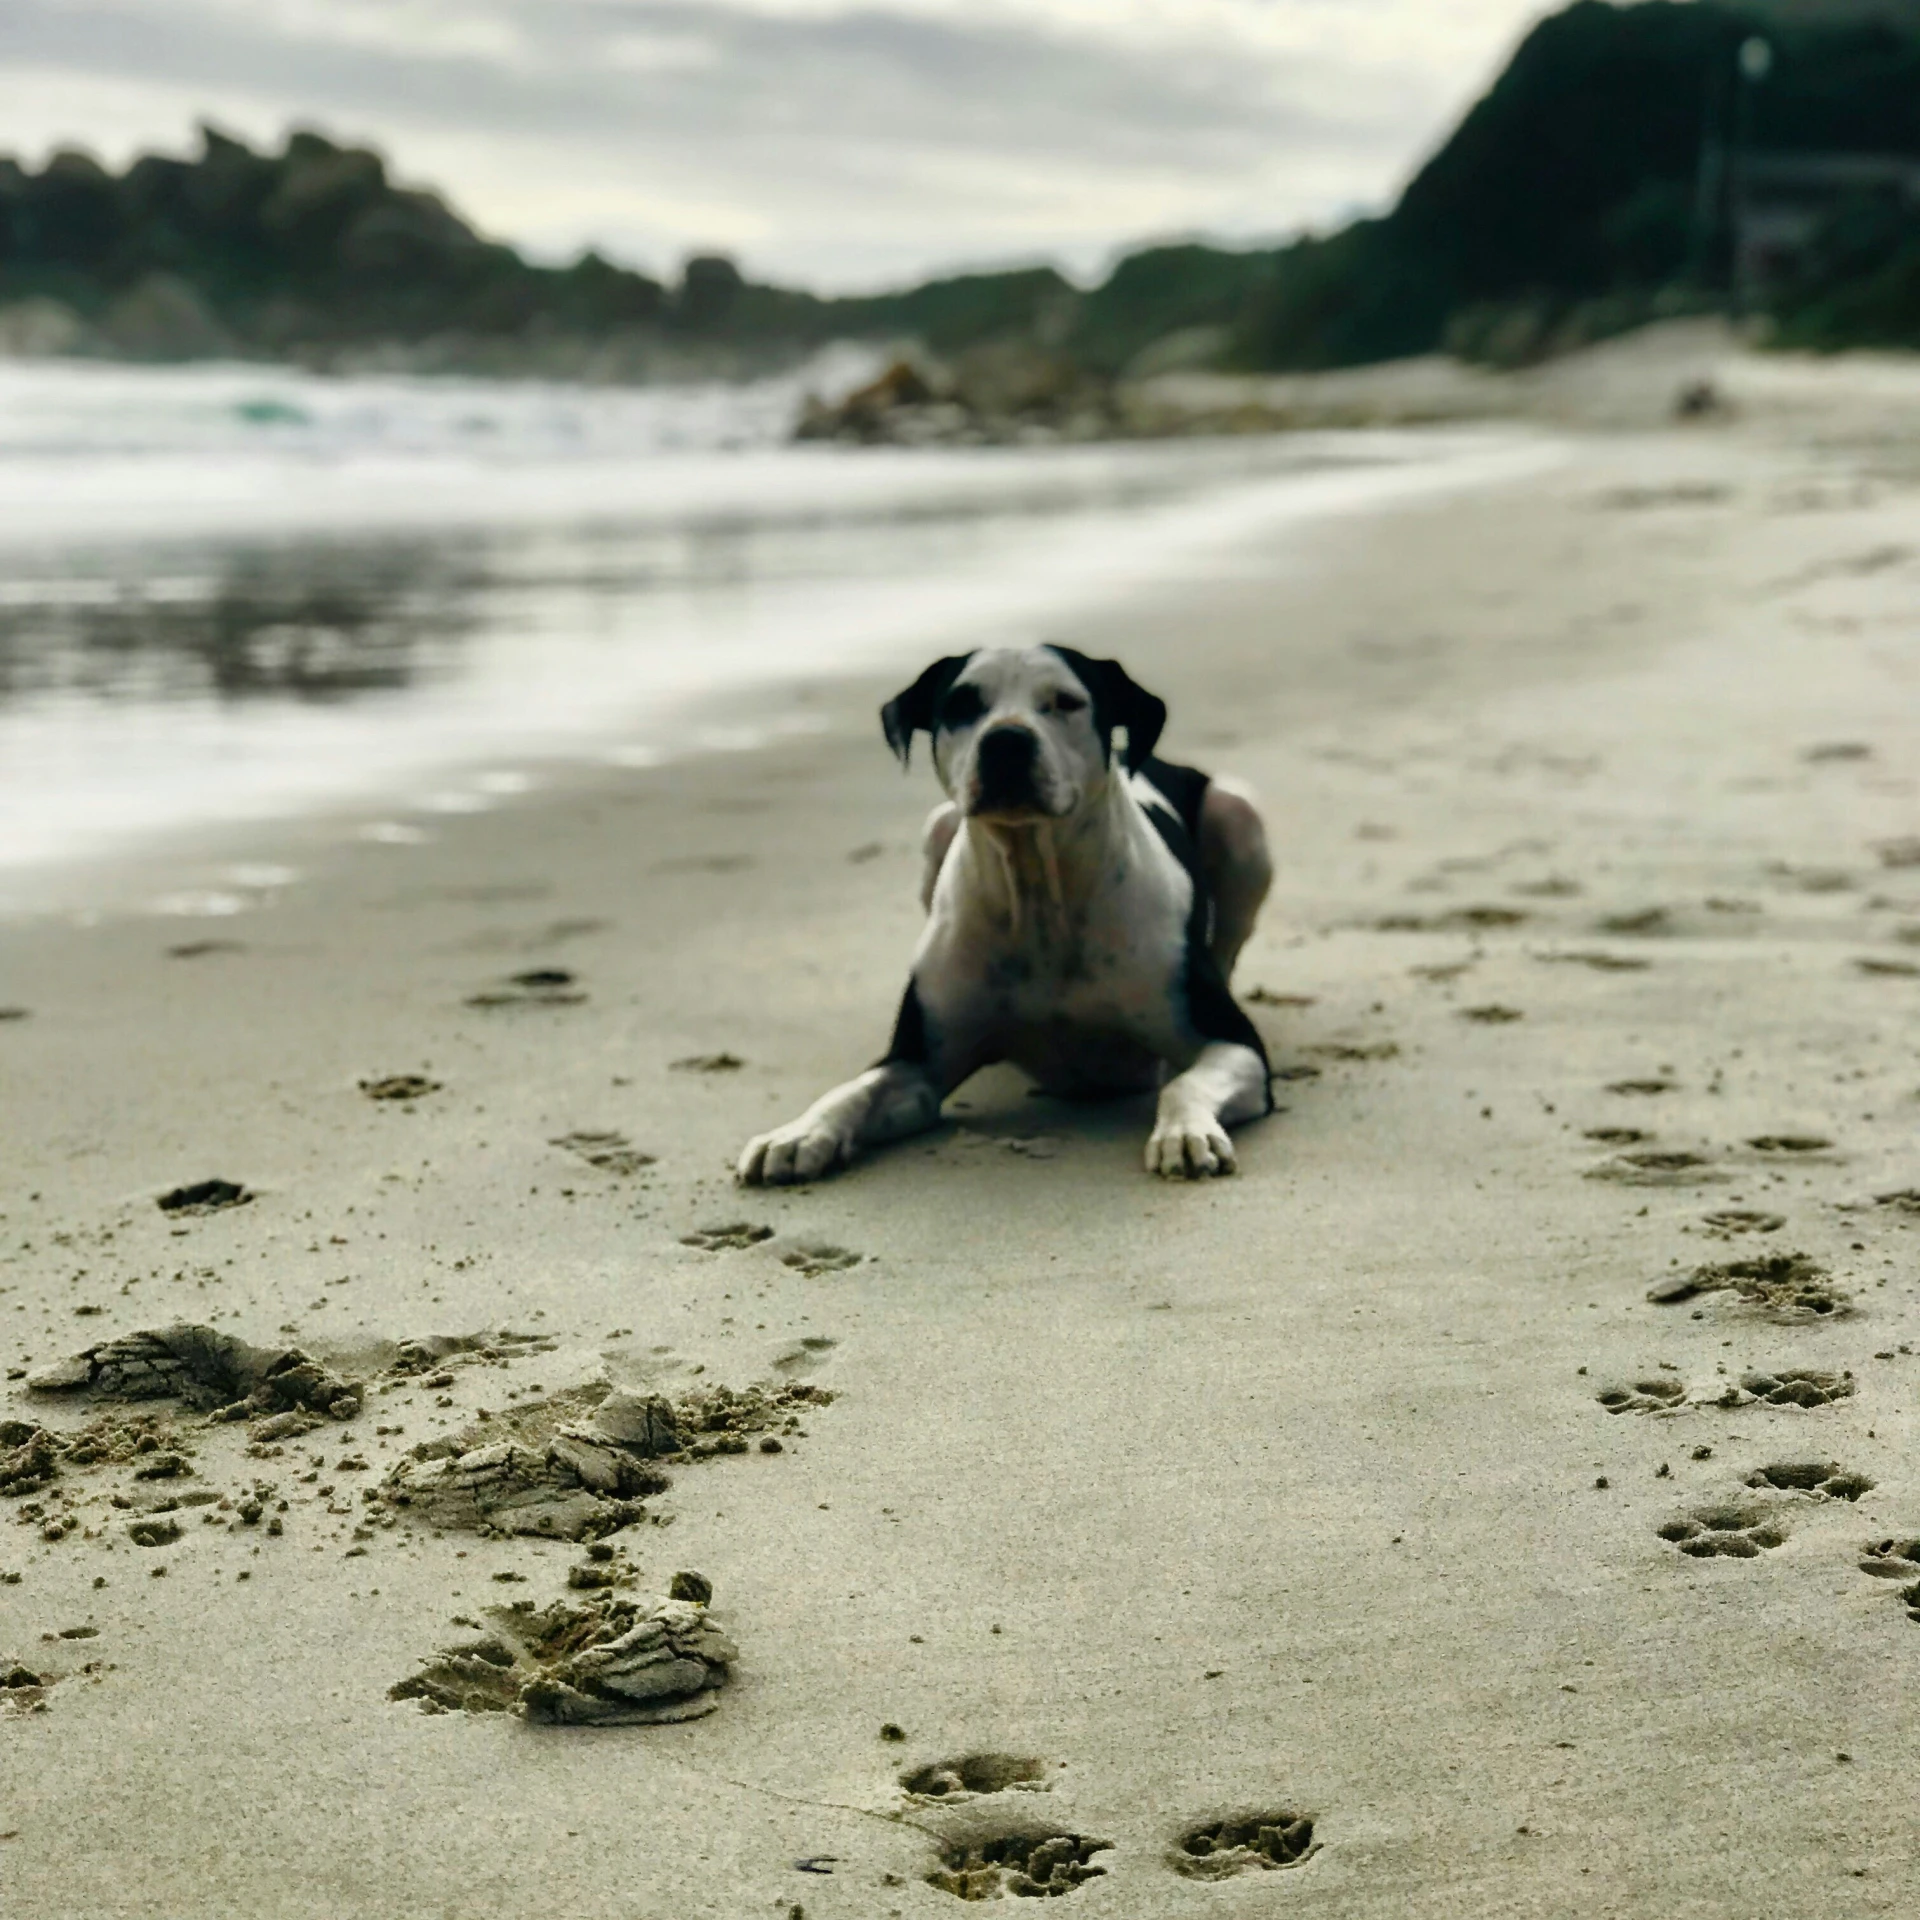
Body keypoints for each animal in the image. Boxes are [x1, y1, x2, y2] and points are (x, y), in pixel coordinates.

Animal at [733, 645, 1274, 1182]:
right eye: (961, 705)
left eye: (1065, 701)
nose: (1006, 740)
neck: (1037, 894)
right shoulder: (917, 1064)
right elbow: (855, 1091)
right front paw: (799, 1132)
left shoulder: (1234, 1043)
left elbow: (1186, 1083)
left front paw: (1184, 1131)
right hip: (938, 827)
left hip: (1239, 814)